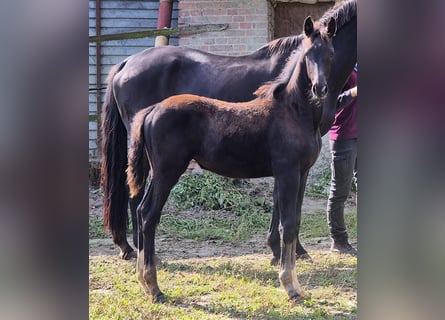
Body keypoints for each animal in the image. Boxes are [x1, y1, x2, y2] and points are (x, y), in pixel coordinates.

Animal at [101, 0, 358, 260]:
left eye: (331, 54)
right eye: (308, 56)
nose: (320, 88)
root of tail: (126, 63)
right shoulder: (288, 163)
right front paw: (288, 249)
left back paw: (130, 247)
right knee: (136, 195)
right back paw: (137, 249)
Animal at [126, 16, 334, 304]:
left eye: (330, 54)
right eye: (307, 55)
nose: (320, 88)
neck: (294, 113)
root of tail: (152, 109)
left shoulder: (301, 174)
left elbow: (296, 222)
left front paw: (297, 286)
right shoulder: (287, 173)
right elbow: (288, 225)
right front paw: (289, 287)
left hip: (158, 173)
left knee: (141, 210)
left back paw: (144, 282)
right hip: (168, 172)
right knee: (148, 215)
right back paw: (155, 288)